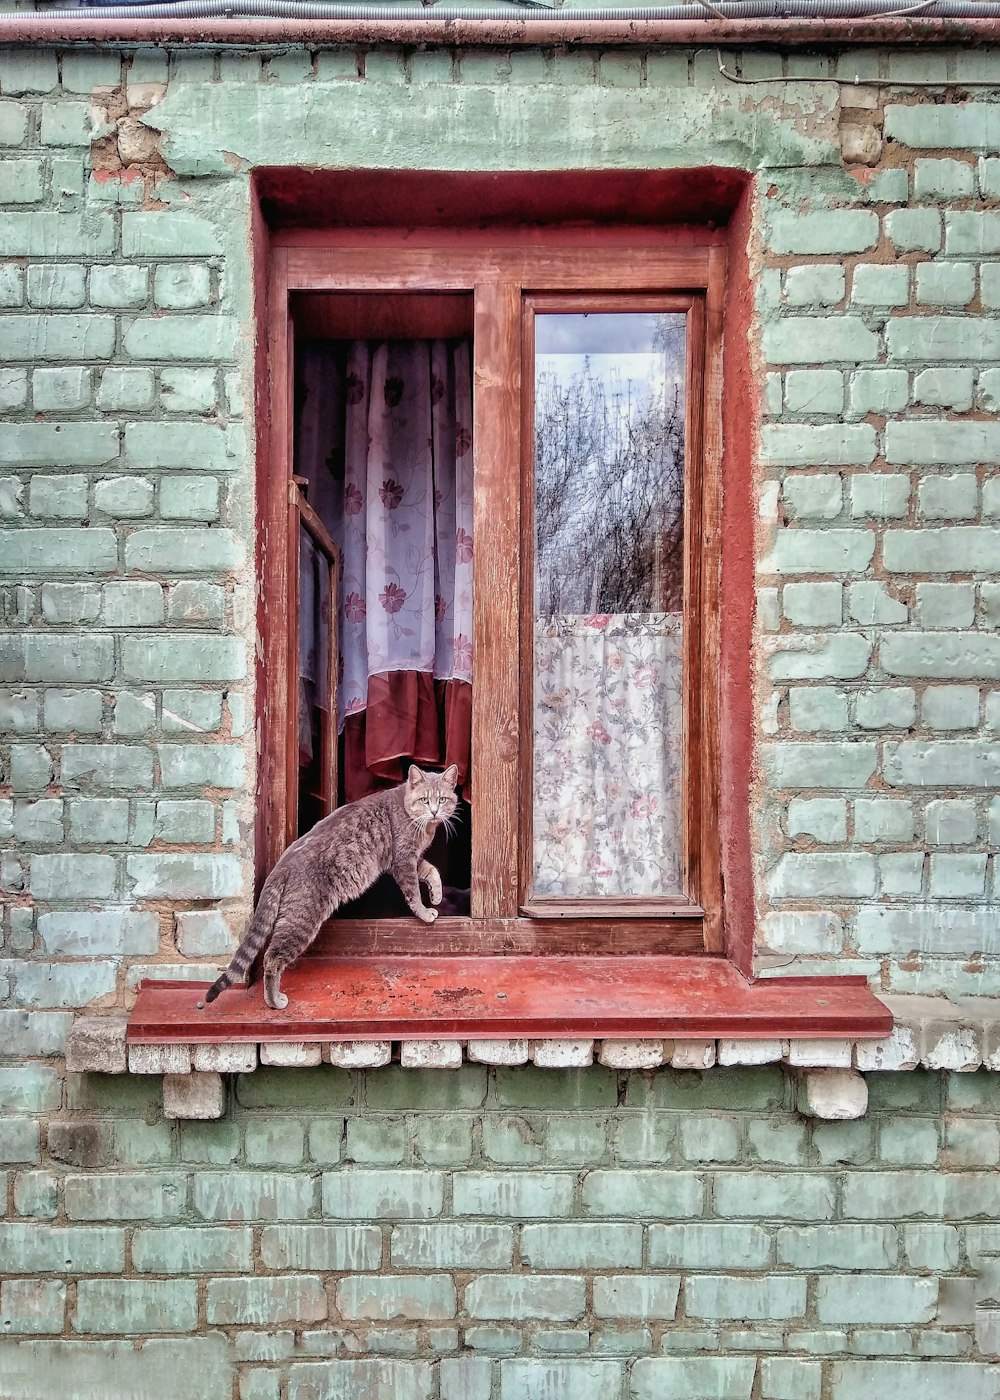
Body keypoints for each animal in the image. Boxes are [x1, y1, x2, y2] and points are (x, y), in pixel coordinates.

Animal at [212, 767, 462, 1008]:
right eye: (424, 800)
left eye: (442, 799)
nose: (434, 812)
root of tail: (281, 866)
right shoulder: (403, 861)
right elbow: (414, 894)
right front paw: (425, 912)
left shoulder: (412, 860)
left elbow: (432, 871)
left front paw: (436, 895)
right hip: (300, 920)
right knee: (272, 957)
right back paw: (274, 1001)